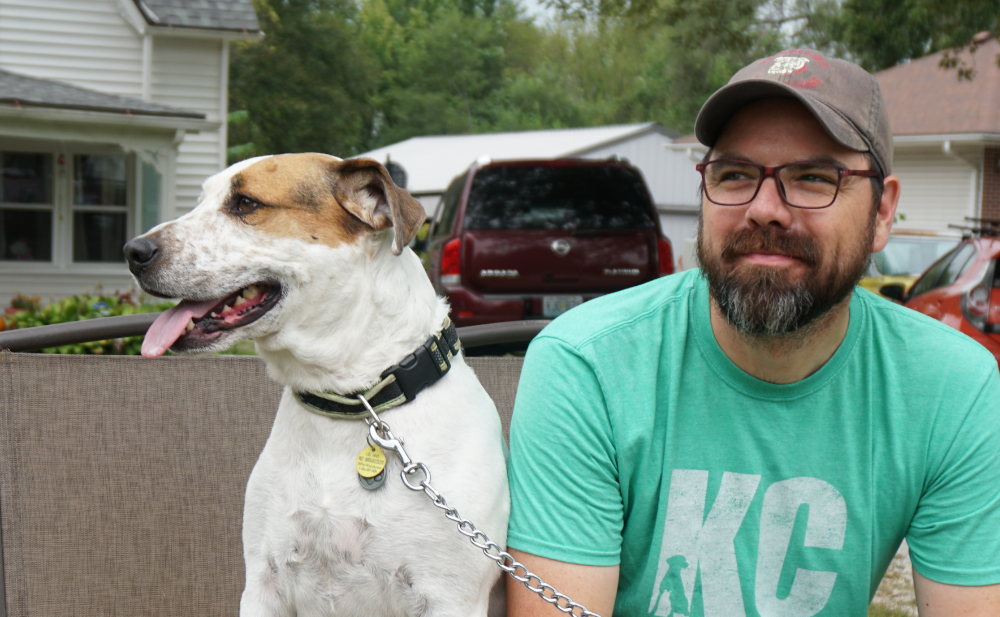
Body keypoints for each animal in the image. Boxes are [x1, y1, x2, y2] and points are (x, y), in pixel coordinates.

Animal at [125, 154, 512, 616]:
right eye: (200, 200)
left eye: (245, 203)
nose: (133, 252)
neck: (350, 402)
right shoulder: (263, 585)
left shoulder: (450, 596)